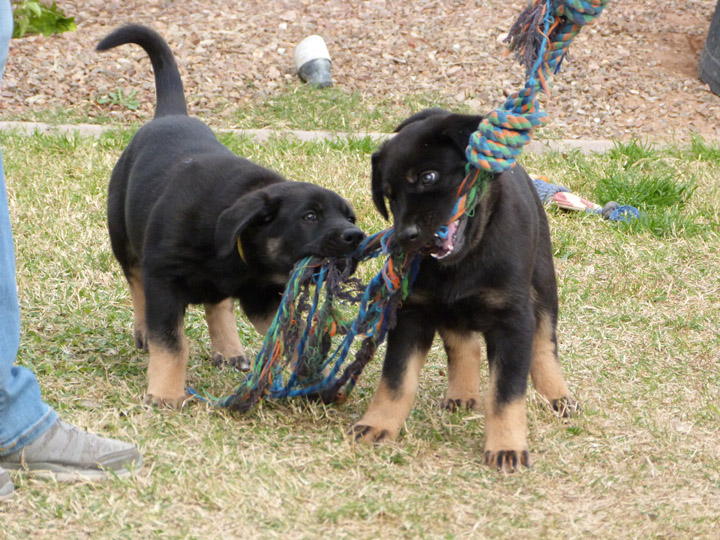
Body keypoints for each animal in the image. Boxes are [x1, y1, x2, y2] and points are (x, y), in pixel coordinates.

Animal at [97, 24, 366, 404]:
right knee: (136, 280)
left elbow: (293, 335)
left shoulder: (262, 295)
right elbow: (171, 341)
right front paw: (164, 393)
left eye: (349, 218)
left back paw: (229, 349)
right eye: (310, 217)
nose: (355, 237)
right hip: (122, 234)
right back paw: (143, 331)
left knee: (218, 303)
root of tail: (170, 114)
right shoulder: (164, 280)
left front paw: (316, 380)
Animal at [354, 107, 580, 470]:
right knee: (463, 344)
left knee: (545, 343)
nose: (404, 237)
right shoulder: (413, 312)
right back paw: (461, 393)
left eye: (428, 177)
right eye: (389, 195)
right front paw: (378, 424)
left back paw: (557, 396)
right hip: (447, 307)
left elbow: (506, 393)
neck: (466, 258)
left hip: (543, 283)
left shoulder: (512, 319)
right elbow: (396, 380)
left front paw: (506, 448)